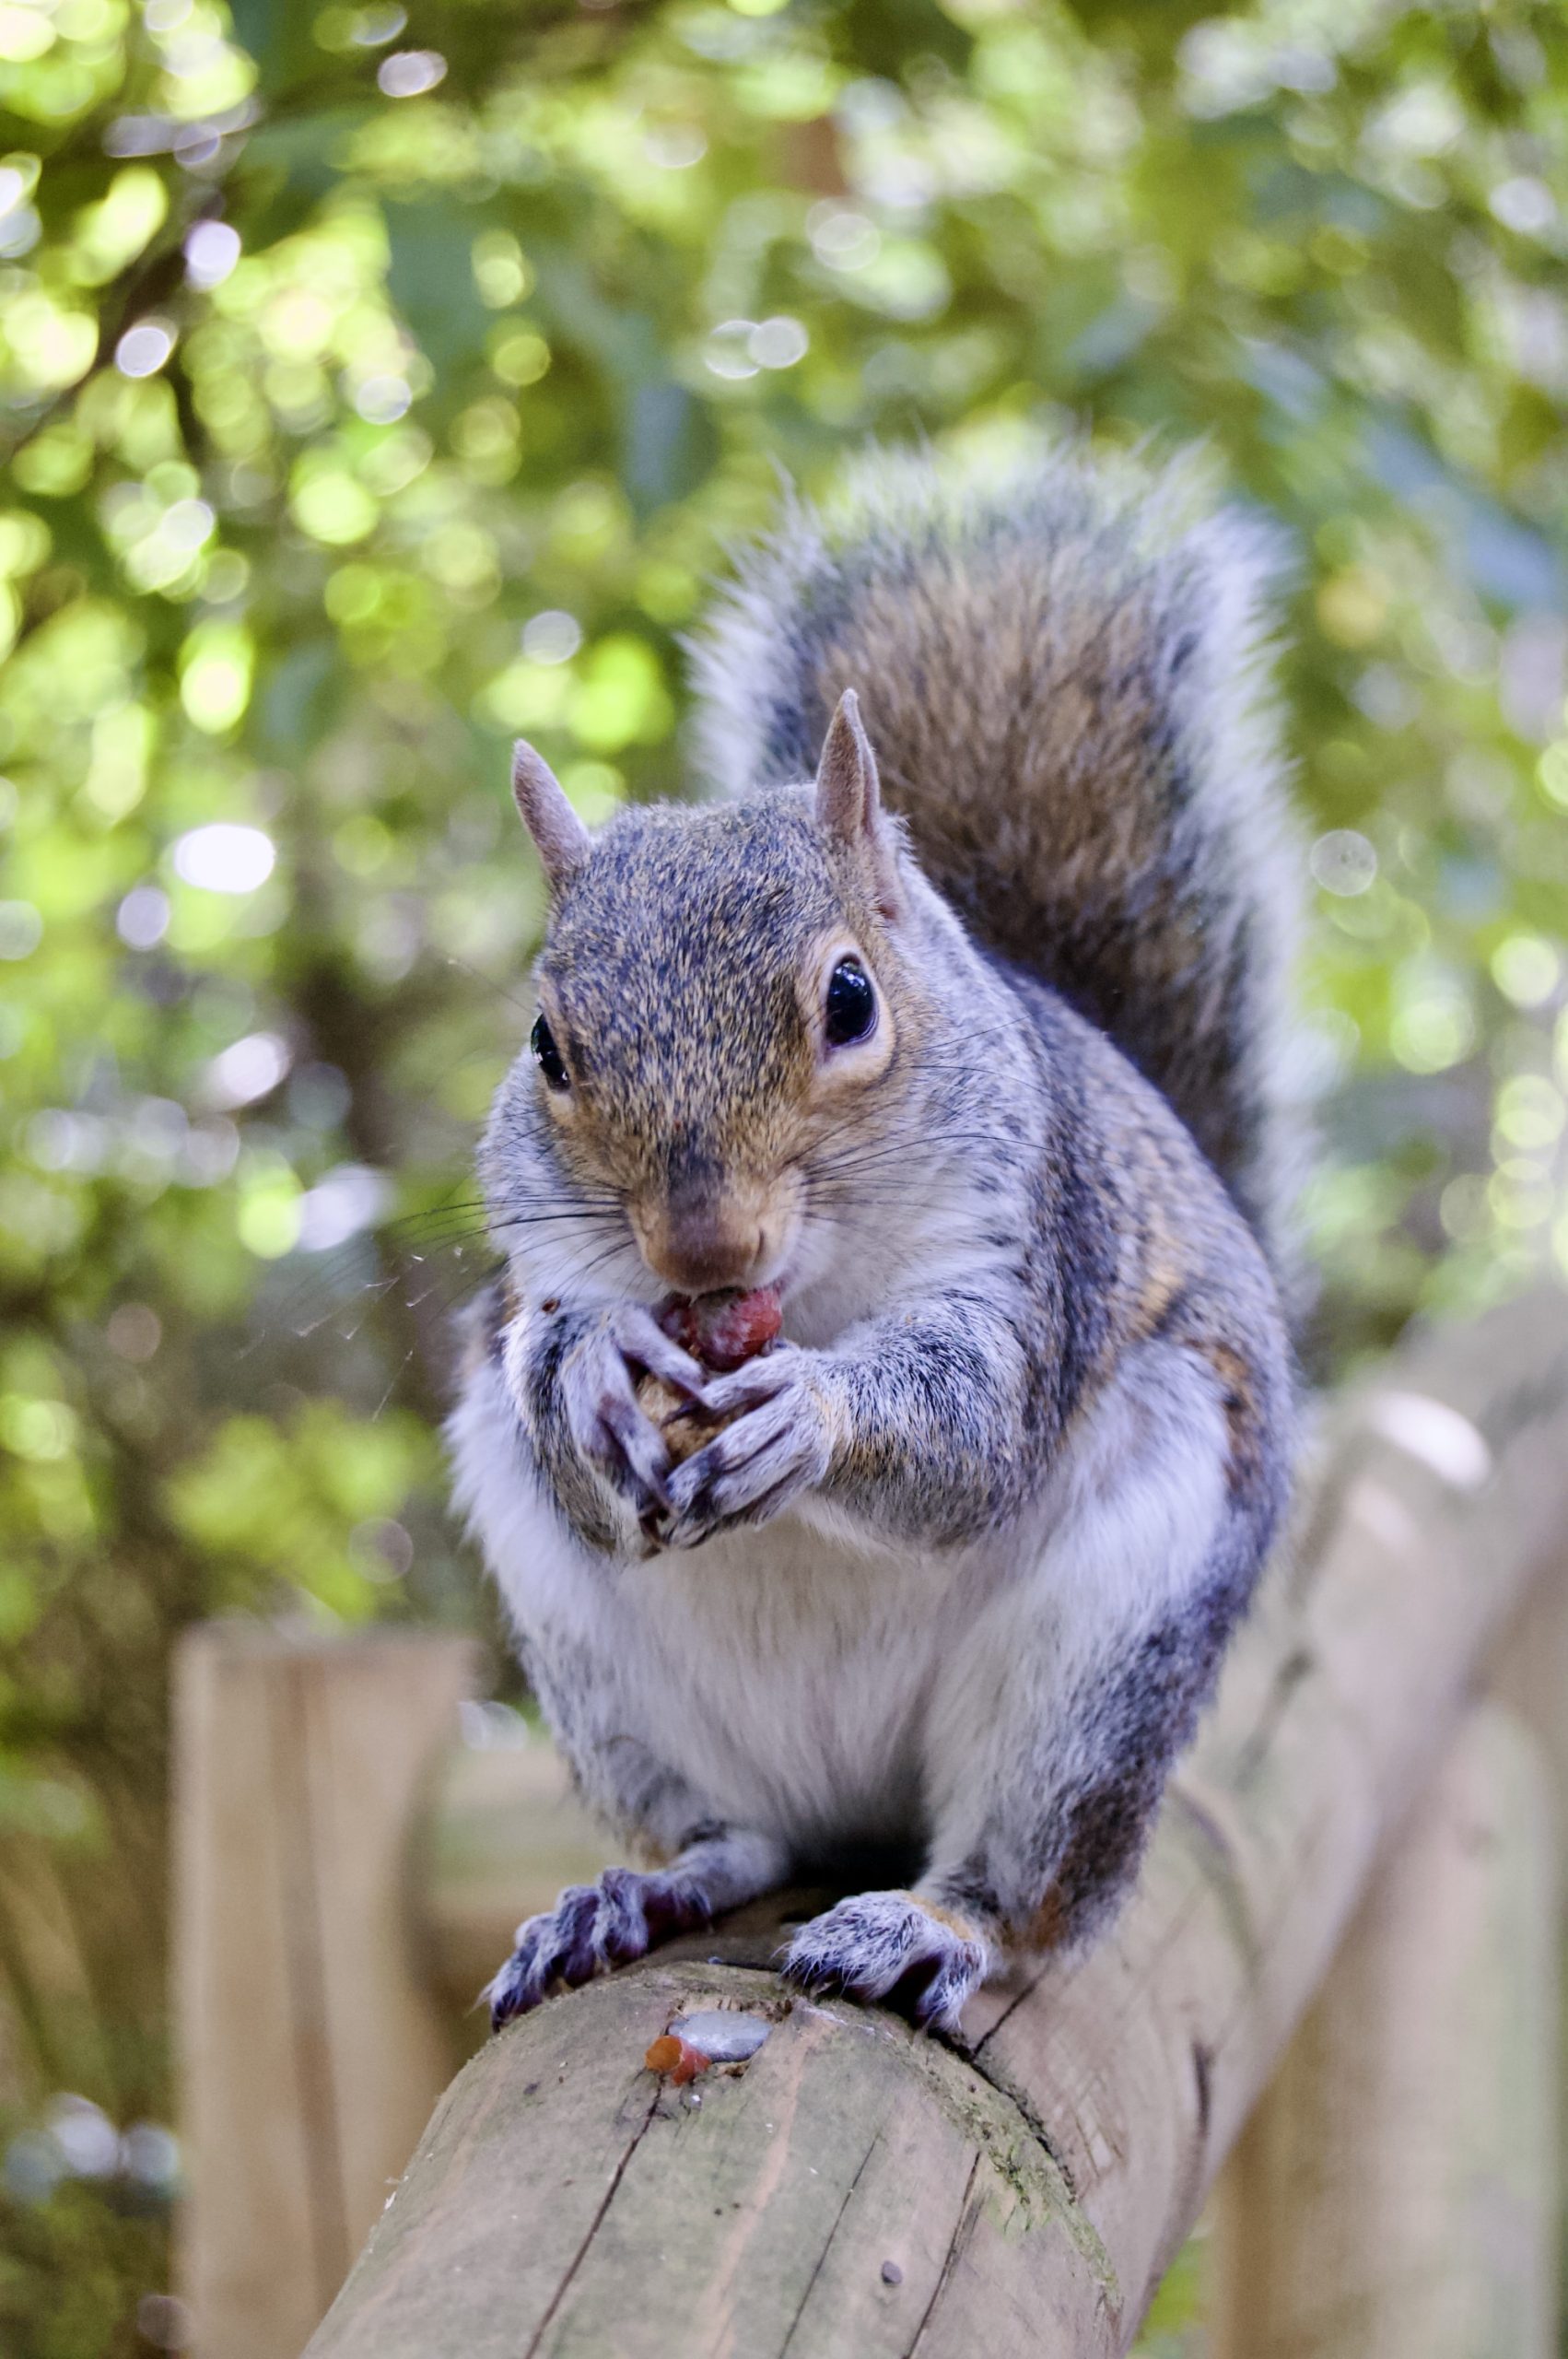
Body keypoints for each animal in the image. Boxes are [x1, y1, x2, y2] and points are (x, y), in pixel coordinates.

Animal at [448, 439, 1301, 2037]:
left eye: (848, 999)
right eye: (544, 1046)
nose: (701, 1250)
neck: (812, 1277)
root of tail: (859, 1805)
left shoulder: (1032, 1239)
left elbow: (972, 1432)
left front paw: (814, 1413)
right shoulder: (539, 1260)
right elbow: (555, 1371)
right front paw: (592, 1366)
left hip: (1106, 1658)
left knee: (1025, 1890)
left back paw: (931, 1923)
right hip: (605, 1677)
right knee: (738, 1836)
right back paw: (633, 1894)